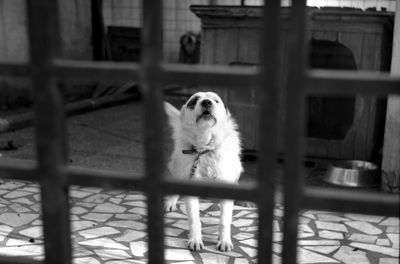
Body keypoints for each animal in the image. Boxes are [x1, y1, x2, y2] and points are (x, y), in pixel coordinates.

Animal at [164, 91, 242, 252]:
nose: (206, 102)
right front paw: (195, 239)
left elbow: (224, 221)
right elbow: (194, 219)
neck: (205, 149)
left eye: (216, 101)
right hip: (177, 167)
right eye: (193, 101)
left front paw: (224, 240)